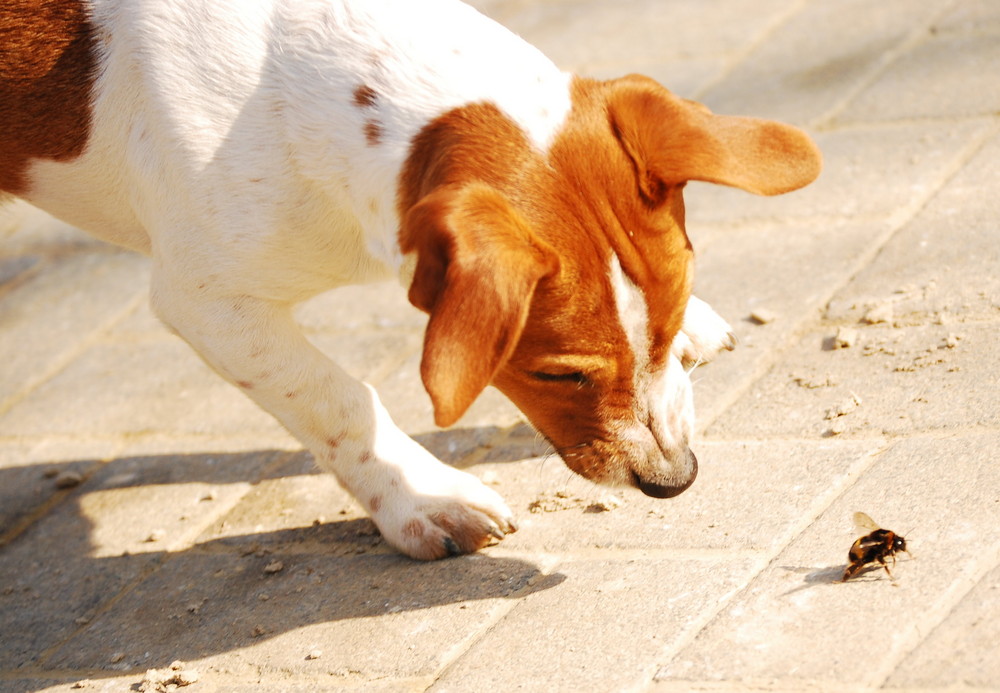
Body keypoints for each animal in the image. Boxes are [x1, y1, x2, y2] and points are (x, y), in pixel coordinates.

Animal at [1, 0, 820, 556]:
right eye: (558, 375)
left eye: (671, 313)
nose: (673, 480)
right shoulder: (208, 302)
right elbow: (336, 397)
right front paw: (422, 497)